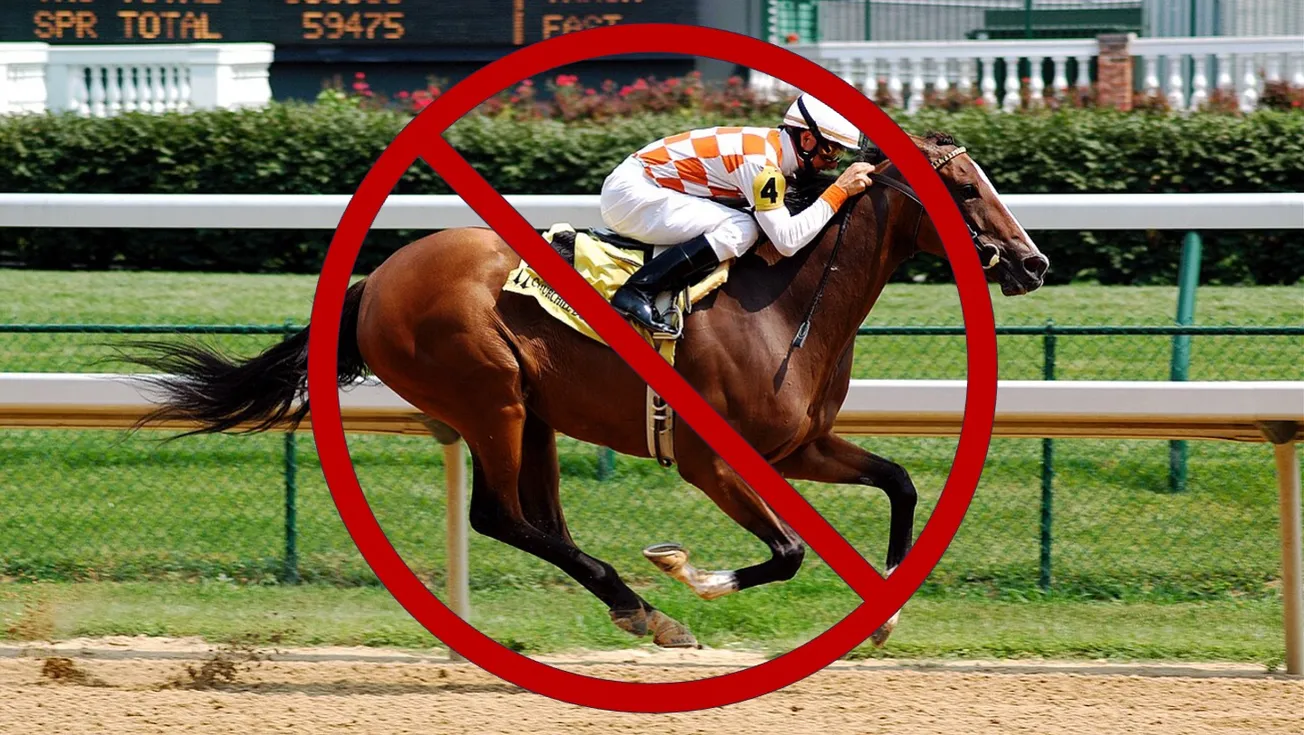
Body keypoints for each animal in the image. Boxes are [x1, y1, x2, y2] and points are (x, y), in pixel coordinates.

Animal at [126, 131, 1049, 650]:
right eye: (965, 186)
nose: (1035, 261)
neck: (786, 301)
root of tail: (375, 279)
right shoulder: (709, 458)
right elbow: (788, 550)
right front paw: (688, 573)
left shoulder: (800, 444)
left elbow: (899, 480)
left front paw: (884, 607)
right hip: (488, 395)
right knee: (499, 517)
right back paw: (648, 607)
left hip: (532, 413)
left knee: (540, 520)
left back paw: (633, 607)